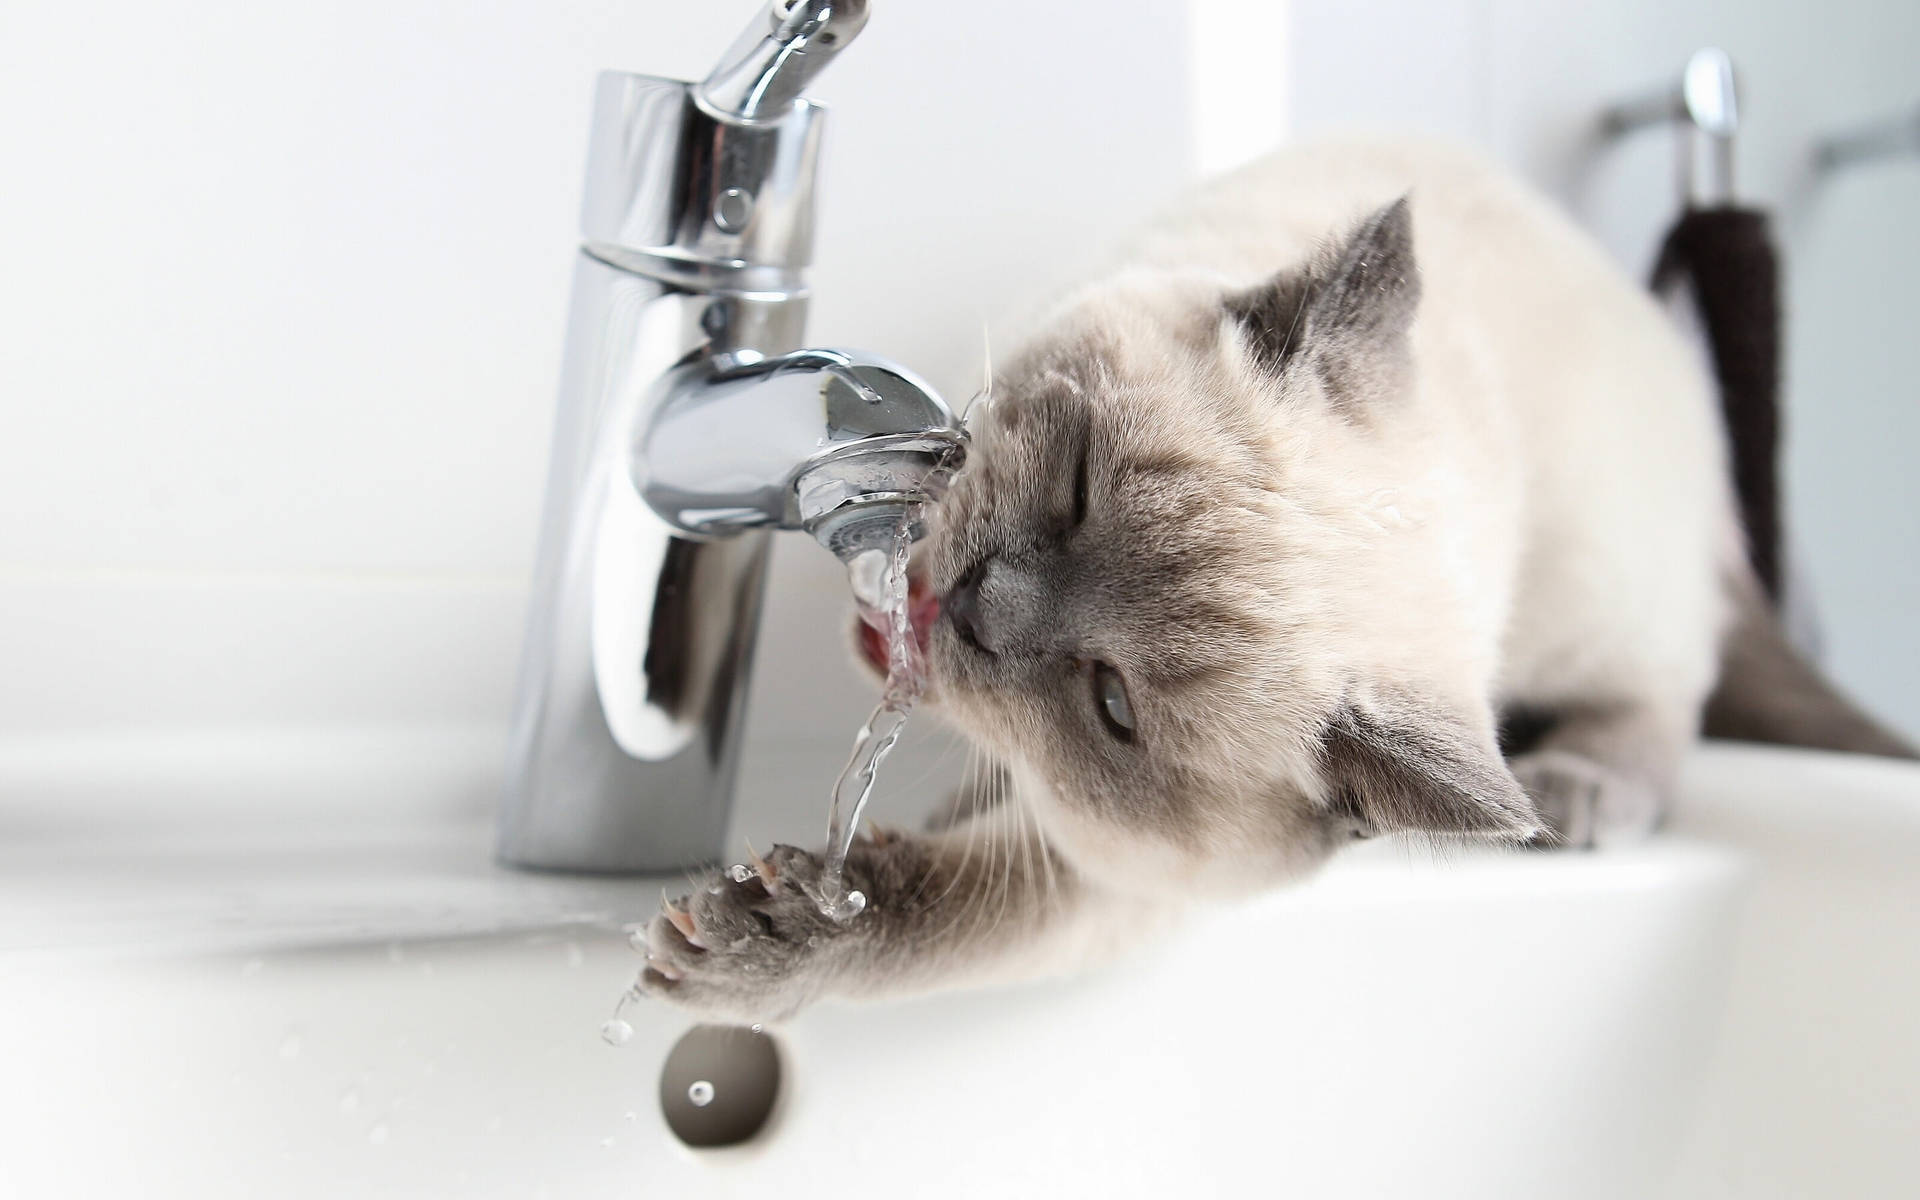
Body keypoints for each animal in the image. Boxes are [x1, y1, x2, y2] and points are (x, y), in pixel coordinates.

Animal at [637, 140, 1912, 1021]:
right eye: (1079, 489)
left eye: (1112, 704)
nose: (976, 607)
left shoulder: (1120, 882)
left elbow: (934, 910)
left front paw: (759, 939)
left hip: (1610, 597)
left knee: (1662, 704)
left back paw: (1575, 793)